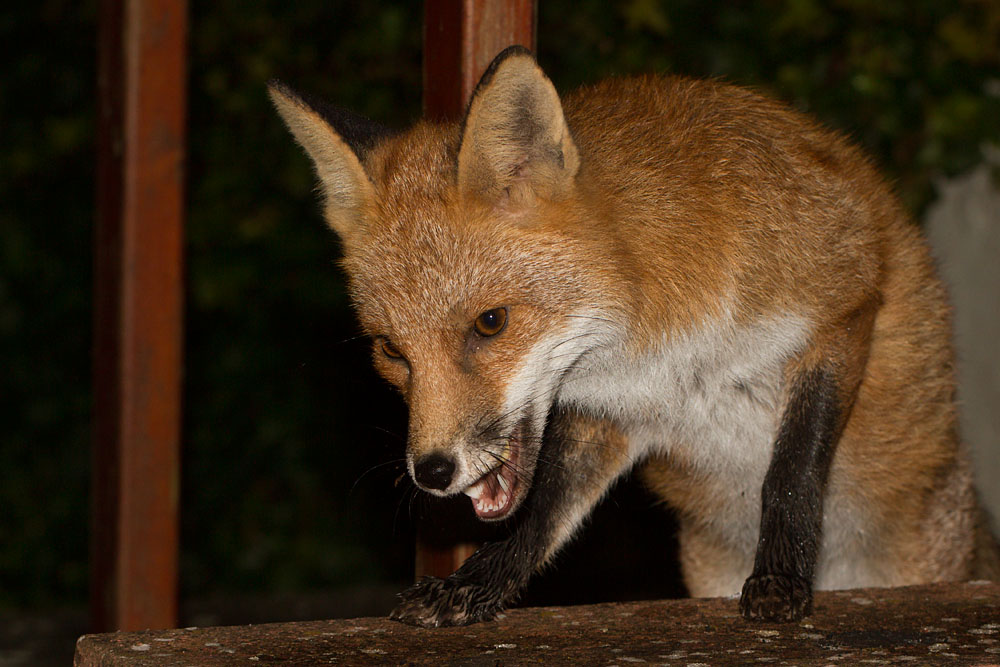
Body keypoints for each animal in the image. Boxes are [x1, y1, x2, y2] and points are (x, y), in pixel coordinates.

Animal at [269, 46, 1000, 627]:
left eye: (490, 322)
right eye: (392, 351)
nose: (432, 471)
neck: (658, 345)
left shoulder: (841, 307)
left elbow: (790, 473)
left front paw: (781, 577)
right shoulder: (612, 414)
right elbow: (544, 516)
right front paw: (479, 583)